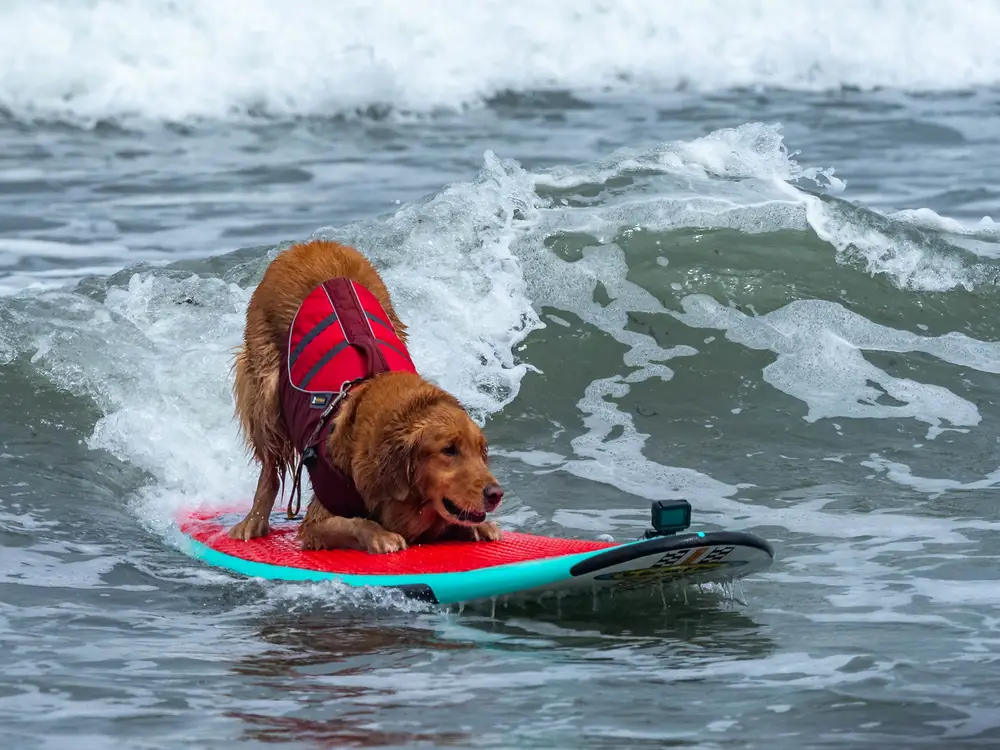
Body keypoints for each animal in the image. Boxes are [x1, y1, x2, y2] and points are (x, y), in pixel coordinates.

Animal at [230, 238, 504, 556]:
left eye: (481, 451)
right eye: (449, 450)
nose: (496, 494)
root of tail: (309, 244)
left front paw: (481, 527)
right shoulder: (316, 522)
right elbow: (355, 523)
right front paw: (381, 535)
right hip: (265, 389)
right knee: (270, 467)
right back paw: (253, 521)